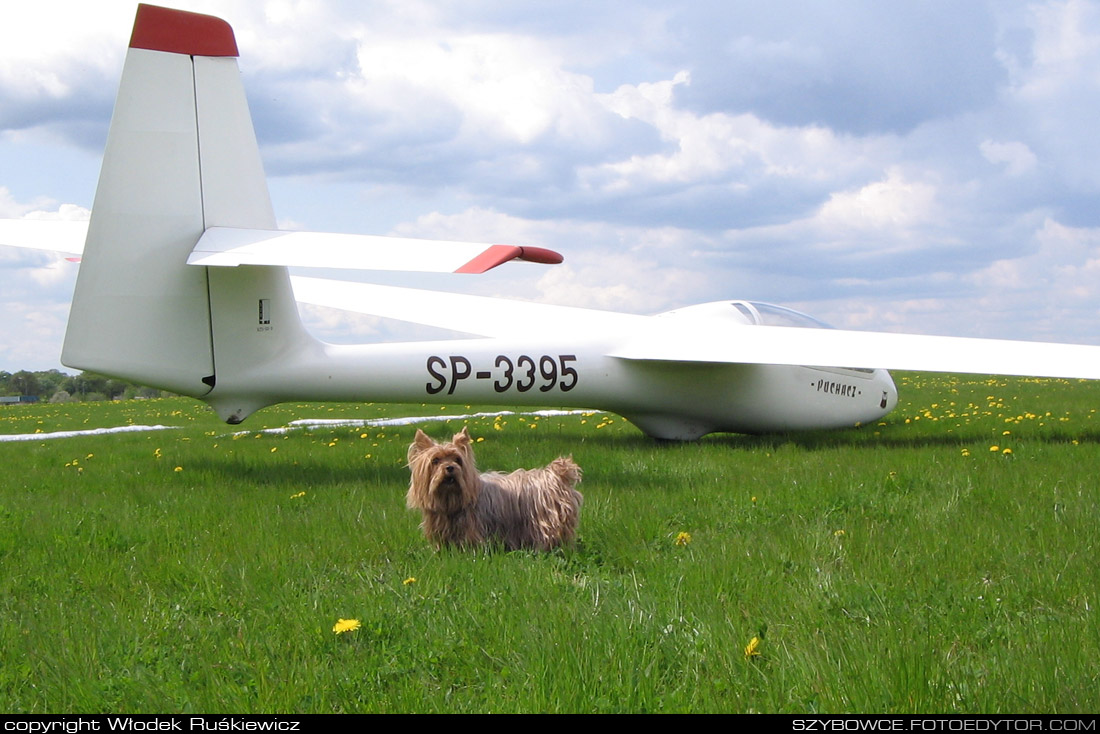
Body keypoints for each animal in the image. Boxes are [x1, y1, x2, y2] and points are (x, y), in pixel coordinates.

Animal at [407, 424, 585, 550]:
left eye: (458, 459)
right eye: (435, 460)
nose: (450, 467)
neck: (450, 499)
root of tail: (557, 475)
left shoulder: (472, 527)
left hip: (548, 519)